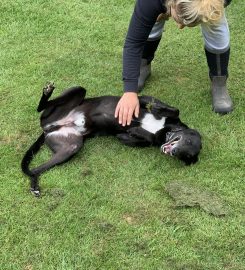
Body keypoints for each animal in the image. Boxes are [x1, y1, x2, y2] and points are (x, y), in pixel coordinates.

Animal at [21, 83, 202, 196]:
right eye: (188, 142)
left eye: (186, 156)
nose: (174, 152)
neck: (163, 130)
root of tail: (48, 127)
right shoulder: (141, 99)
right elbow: (173, 109)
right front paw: (159, 108)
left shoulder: (132, 139)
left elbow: (141, 137)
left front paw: (138, 130)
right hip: (76, 92)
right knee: (41, 107)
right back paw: (47, 92)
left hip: (71, 147)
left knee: (35, 170)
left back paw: (34, 184)